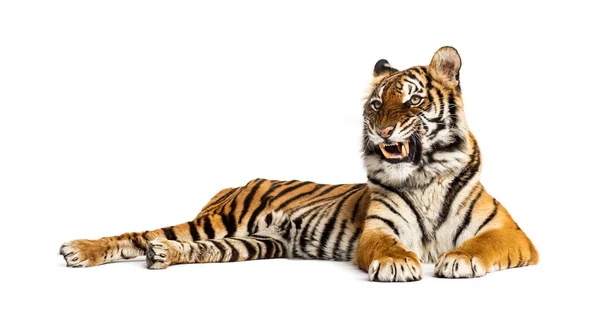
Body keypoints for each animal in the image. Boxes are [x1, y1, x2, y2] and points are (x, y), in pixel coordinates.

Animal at [62, 47, 540, 280]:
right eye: (376, 105)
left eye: (413, 101)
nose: (384, 131)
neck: (424, 178)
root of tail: (233, 185)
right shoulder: (377, 231)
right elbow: (388, 247)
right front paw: (399, 264)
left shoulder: (511, 234)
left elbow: (479, 245)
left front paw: (457, 260)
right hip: (221, 221)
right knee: (138, 234)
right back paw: (80, 250)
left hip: (257, 242)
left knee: (191, 247)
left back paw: (163, 255)